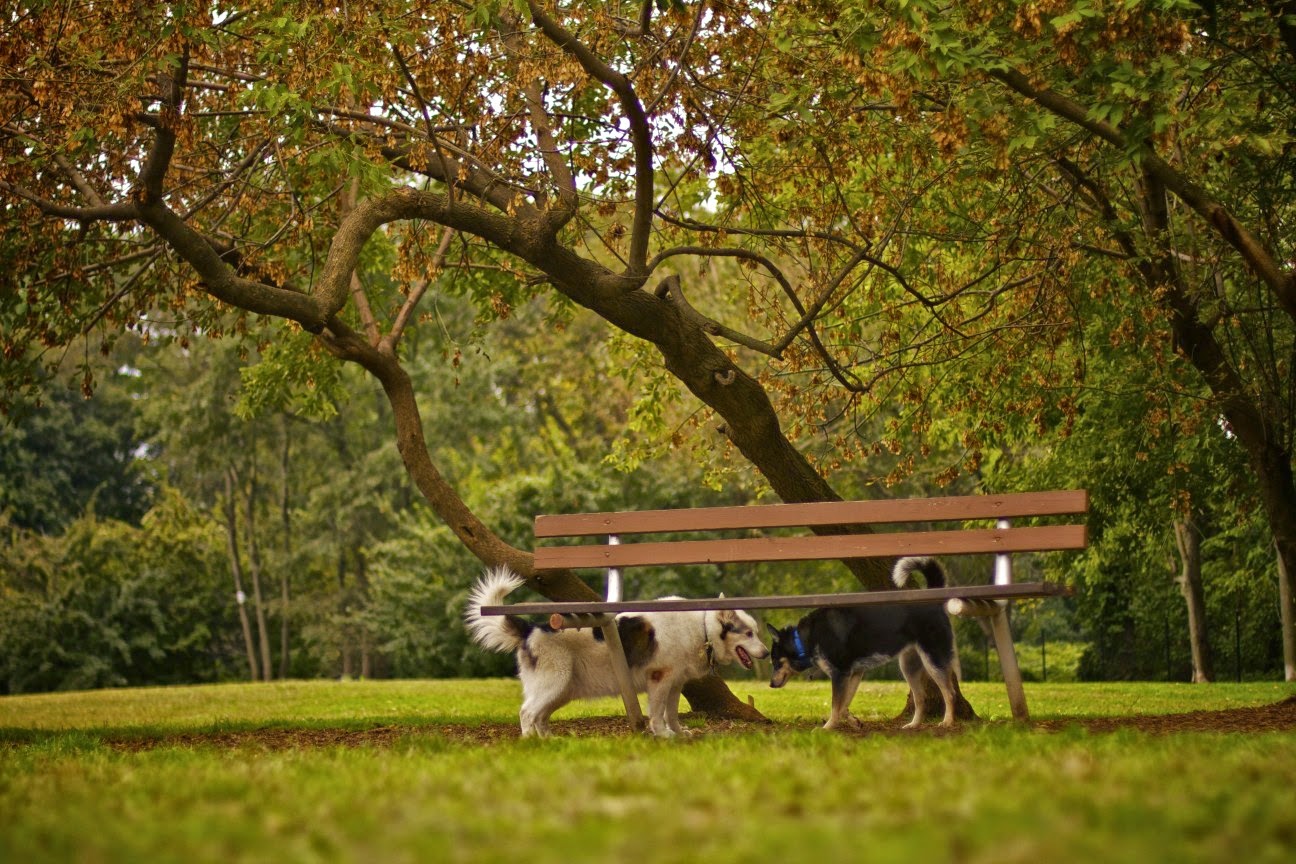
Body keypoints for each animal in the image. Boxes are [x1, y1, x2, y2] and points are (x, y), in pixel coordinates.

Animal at [466, 567, 767, 735]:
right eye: (749, 633)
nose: (766, 654)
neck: (702, 627)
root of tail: (531, 629)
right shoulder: (660, 682)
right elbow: (658, 714)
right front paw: (663, 735)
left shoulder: (674, 684)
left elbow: (671, 713)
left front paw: (679, 734)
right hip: (553, 684)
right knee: (528, 714)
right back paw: (531, 745)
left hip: (561, 690)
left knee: (540, 717)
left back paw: (548, 742)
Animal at [762, 562, 959, 730]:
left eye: (776, 662)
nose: (770, 684)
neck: (806, 639)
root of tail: (933, 602)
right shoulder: (854, 673)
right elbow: (843, 706)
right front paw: (855, 722)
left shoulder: (840, 674)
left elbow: (835, 705)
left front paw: (827, 728)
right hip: (909, 666)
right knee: (920, 698)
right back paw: (913, 725)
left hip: (933, 659)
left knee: (949, 693)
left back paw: (947, 722)